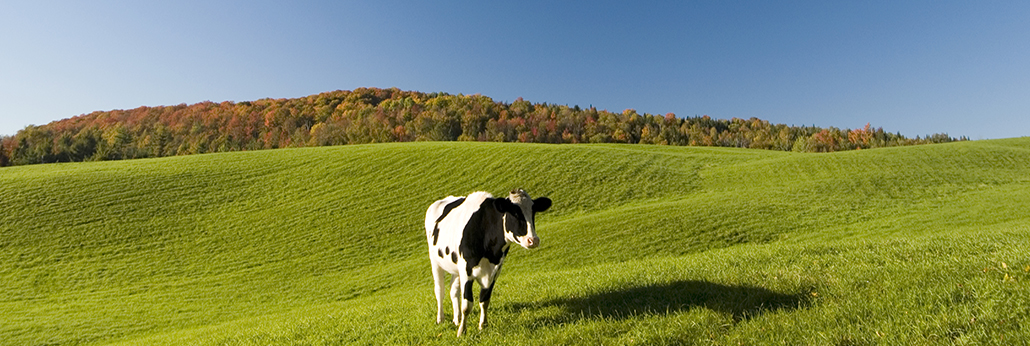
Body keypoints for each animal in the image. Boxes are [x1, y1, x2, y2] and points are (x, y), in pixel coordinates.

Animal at [424, 187, 552, 335]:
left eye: (533, 212)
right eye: (514, 213)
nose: (533, 240)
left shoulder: (495, 270)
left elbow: (485, 300)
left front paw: (483, 325)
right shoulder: (467, 269)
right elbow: (467, 304)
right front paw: (462, 331)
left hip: (455, 265)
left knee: (453, 290)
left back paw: (457, 319)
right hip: (435, 261)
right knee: (440, 290)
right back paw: (441, 318)